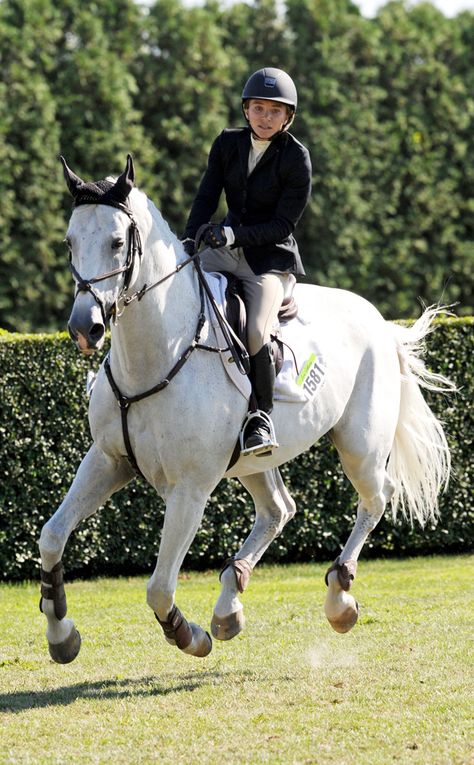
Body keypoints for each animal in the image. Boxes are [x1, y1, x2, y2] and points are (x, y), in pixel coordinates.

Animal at [39, 157, 454, 664]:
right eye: (69, 241)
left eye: (118, 242)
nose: (86, 327)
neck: (155, 353)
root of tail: (379, 321)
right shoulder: (108, 461)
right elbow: (52, 537)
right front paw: (61, 635)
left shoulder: (190, 489)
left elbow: (159, 588)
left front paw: (189, 635)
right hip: (254, 460)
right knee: (279, 509)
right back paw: (228, 605)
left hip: (360, 447)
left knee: (376, 498)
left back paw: (338, 599)